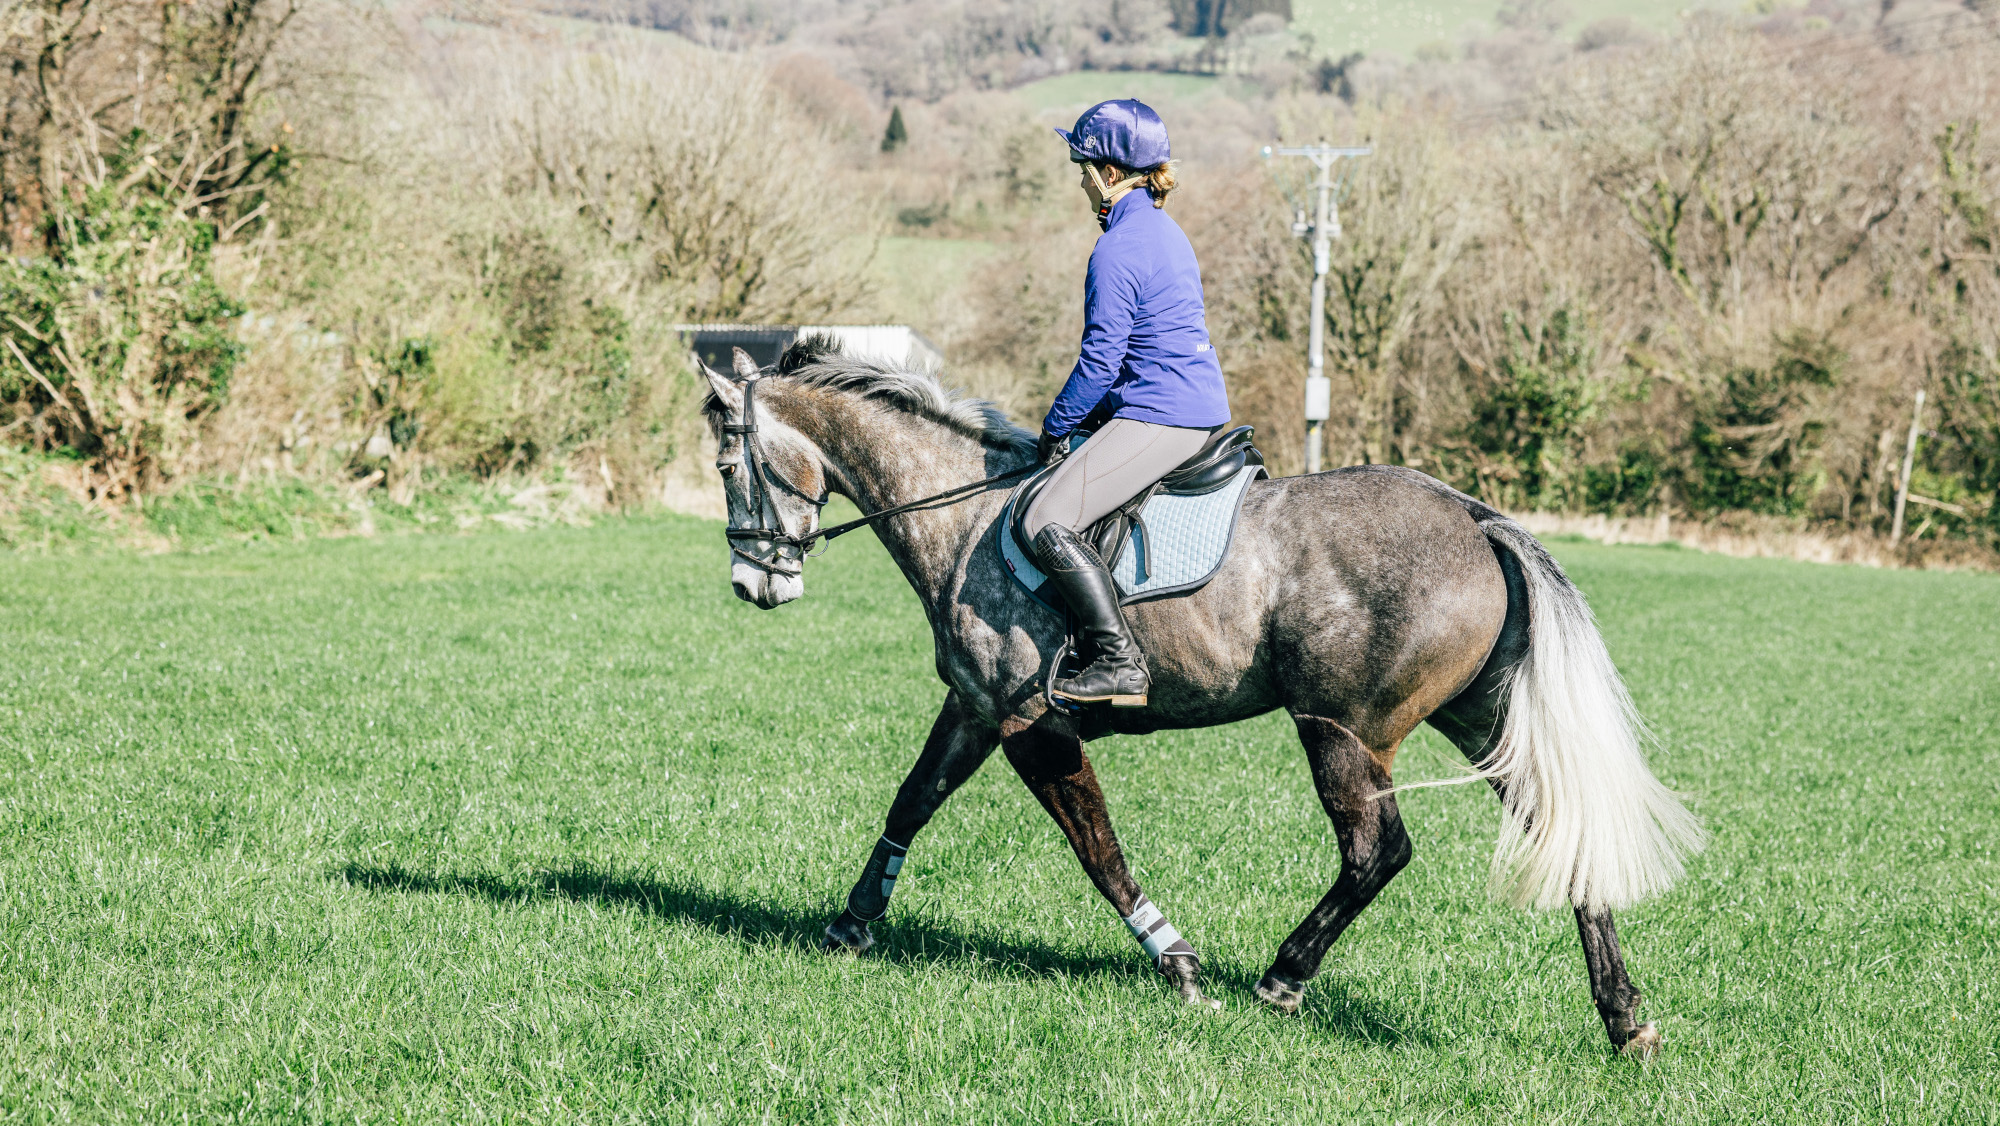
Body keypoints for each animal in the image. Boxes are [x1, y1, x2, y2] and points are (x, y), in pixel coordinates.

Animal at [700, 338, 1703, 1057]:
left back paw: (1283, 978)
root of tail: (1472, 516)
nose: (755, 585)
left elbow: (1098, 851)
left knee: (1378, 852)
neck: (967, 514)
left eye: (727, 466)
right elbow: (912, 800)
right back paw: (1624, 1019)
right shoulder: (979, 709)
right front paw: (849, 924)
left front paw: (1178, 964)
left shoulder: (1033, 724)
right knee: (1560, 830)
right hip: (1479, 718)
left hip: (1342, 730)